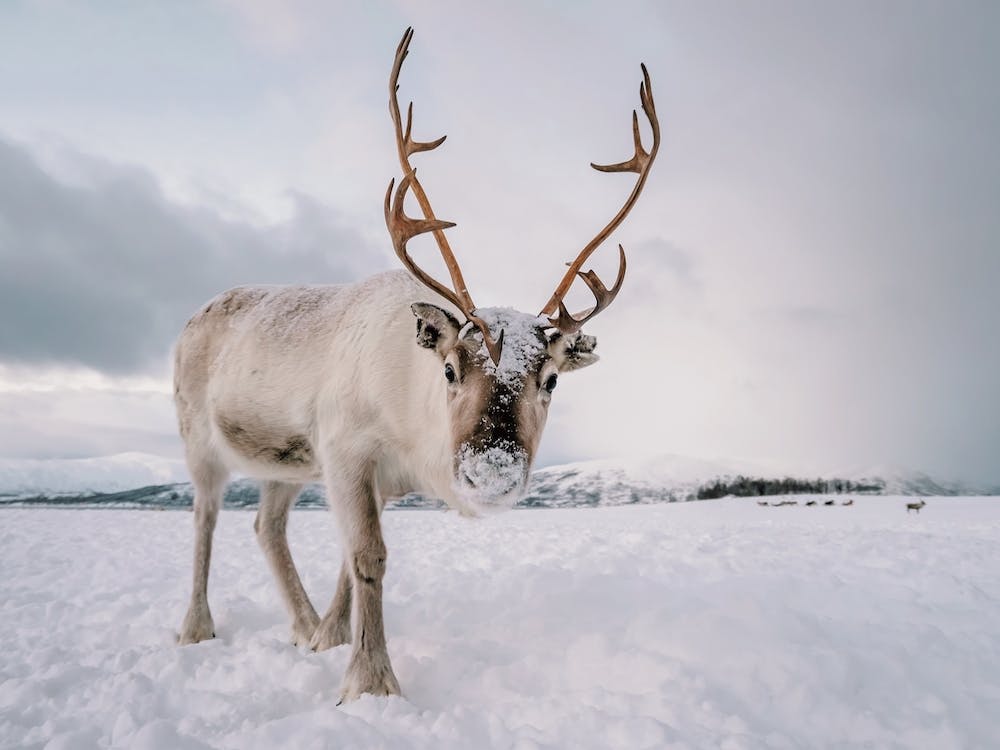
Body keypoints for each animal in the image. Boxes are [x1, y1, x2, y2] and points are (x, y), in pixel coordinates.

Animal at [172, 28, 660, 702]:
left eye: (552, 379)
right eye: (451, 369)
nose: (491, 473)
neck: (411, 428)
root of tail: (195, 316)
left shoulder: (371, 477)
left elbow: (350, 561)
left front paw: (330, 640)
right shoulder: (346, 449)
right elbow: (368, 558)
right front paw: (370, 682)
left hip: (285, 464)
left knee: (266, 527)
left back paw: (301, 626)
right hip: (199, 437)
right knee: (205, 519)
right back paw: (196, 628)